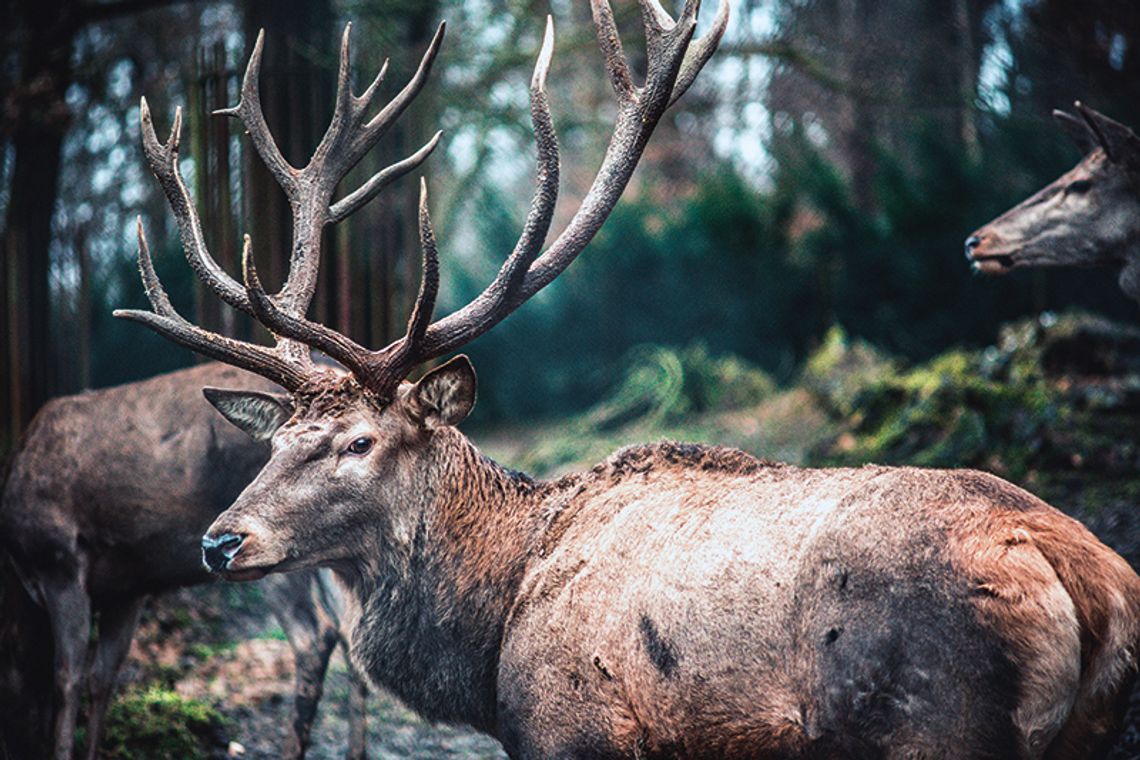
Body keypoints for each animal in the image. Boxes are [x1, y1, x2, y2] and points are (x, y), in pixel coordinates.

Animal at [0, 364, 364, 760]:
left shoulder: (59, 562)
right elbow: (103, 678)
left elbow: (68, 678)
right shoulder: (127, 590)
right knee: (350, 635)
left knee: (315, 637)